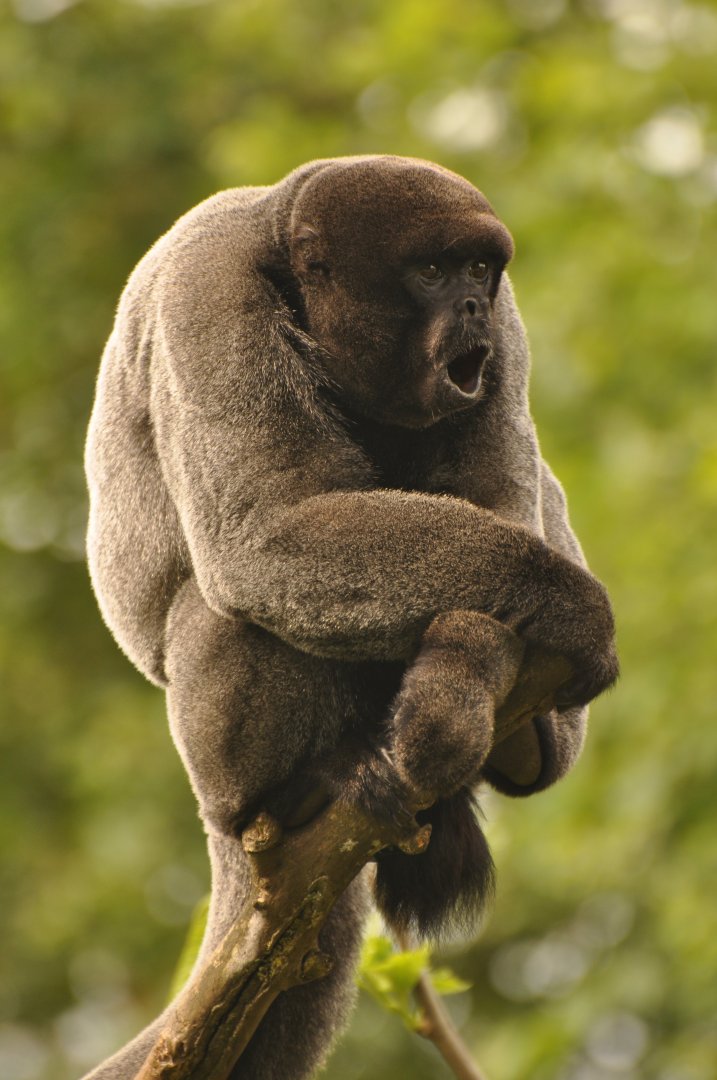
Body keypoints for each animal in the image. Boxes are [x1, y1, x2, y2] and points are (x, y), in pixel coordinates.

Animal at [83, 155, 617, 1079]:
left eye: (480, 270)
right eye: (431, 271)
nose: (470, 305)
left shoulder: (506, 330)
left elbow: (502, 490)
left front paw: (457, 683)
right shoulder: (207, 297)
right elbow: (265, 533)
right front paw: (569, 608)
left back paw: (515, 742)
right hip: (218, 773)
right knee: (224, 604)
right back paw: (299, 790)